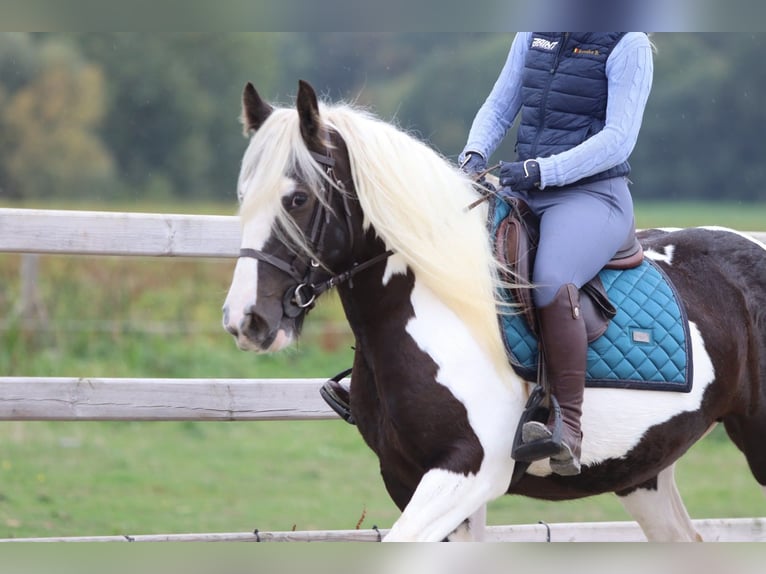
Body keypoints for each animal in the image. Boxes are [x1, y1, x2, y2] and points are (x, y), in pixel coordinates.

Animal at [222, 80, 766, 542]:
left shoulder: (467, 470)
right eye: (243, 196)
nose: (246, 321)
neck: (441, 304)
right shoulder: (406, 477)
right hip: (642, 471)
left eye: (297, 198)